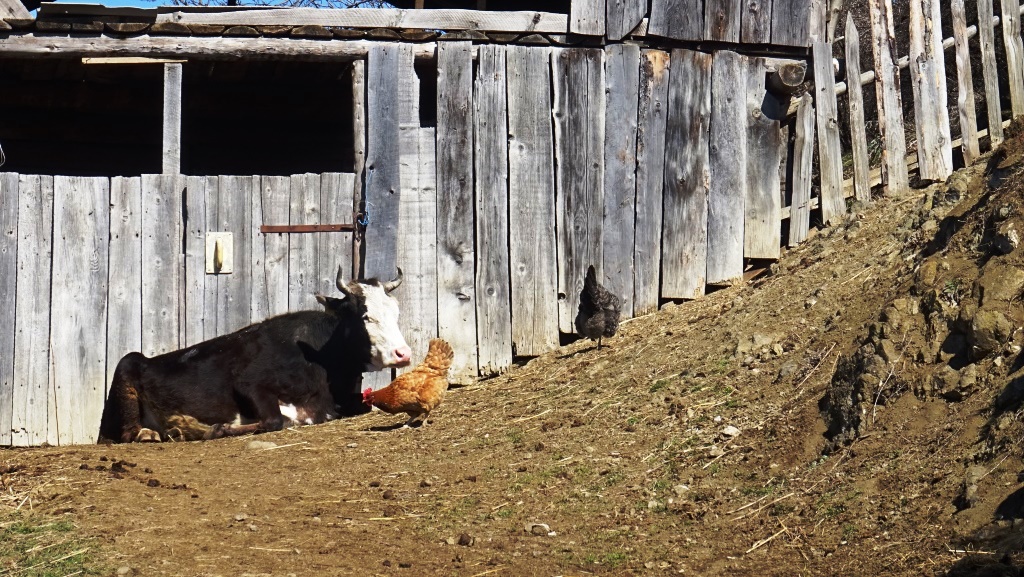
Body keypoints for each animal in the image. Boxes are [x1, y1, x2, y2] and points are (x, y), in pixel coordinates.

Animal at [97, 267, 412, 443]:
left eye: (397, 313)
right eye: (365, 316)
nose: (403, 354)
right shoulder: (249, 383)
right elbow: (275, 421)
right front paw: (209, 429)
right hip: (126, 365)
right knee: (128, 433)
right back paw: (156, 433)